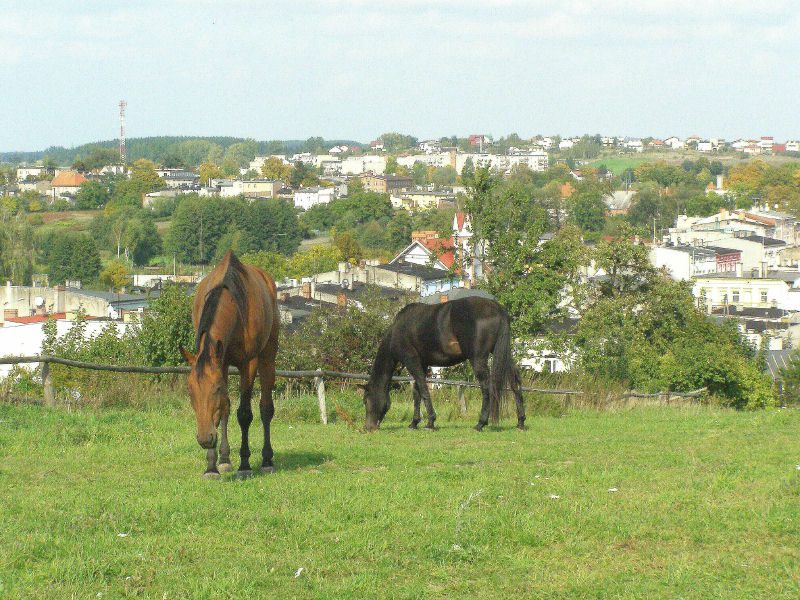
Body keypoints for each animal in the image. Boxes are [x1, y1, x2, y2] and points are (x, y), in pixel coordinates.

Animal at [180, 251, 280, 480]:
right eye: (190, 391)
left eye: (215, 388)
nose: (204, 438)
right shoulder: (221, 362)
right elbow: (222, 409)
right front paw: (213, 465)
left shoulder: (248, 363)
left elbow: (244, 414)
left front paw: (245, 465)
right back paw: (225, 458)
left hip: (268, 356)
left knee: (265, 408)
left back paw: (266, 460)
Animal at [362, 298, 524, 434]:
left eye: (365, 401)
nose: (368, 427)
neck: (397, 330)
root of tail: (498, 308)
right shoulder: (422, 364)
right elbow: (417, 393)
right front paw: (414, 422)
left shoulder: (412, 361)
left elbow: (423, 389)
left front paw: (430, 422)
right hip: (503, 354)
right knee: (514, 381)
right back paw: (520, 422)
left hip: (478, 359)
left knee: (486, 386)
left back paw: (480, 423)